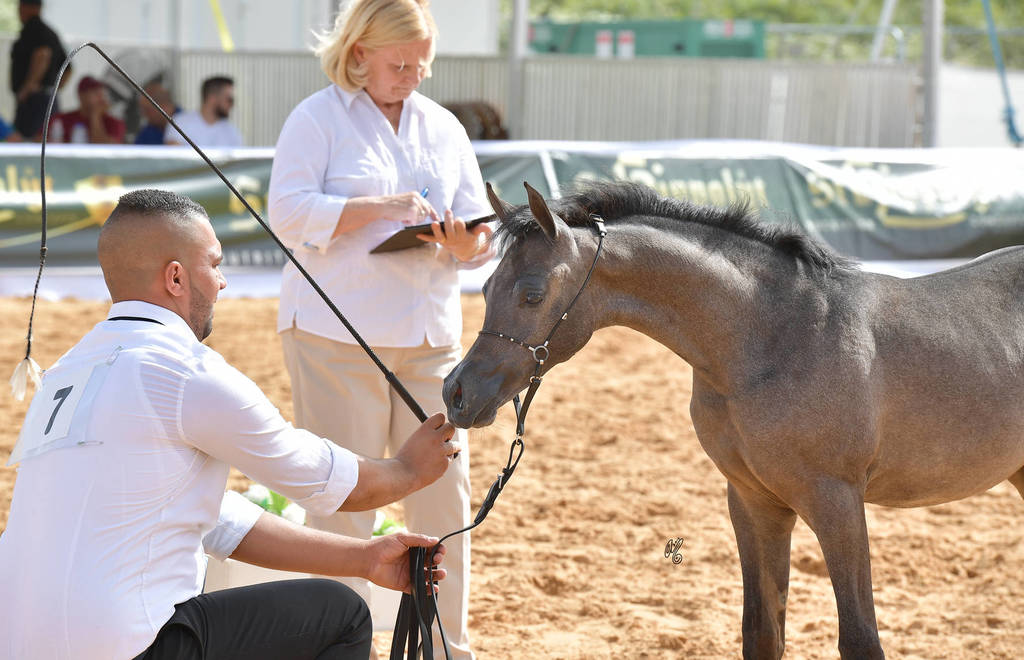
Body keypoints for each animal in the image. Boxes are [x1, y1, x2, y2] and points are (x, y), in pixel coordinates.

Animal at [442, 180, 1024, 659]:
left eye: (532, 294)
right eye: (486, 288)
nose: (457, 394)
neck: (774, 336)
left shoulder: (837, 502)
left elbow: (860, 640)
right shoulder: (753, 501)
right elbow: (762, 633)